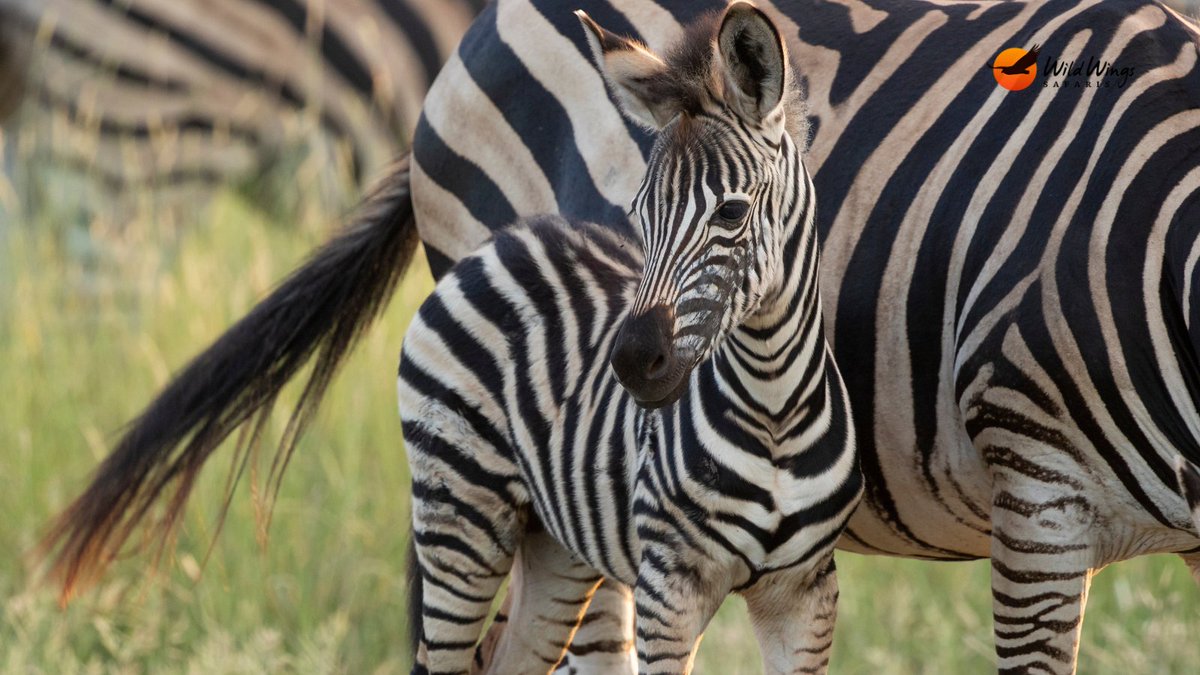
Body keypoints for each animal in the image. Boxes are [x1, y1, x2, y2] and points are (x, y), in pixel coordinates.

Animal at [400, 5, 860, 673]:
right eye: (641, 215)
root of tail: (507, 239)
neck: (774, 409)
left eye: (730, 213)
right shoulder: (670, 584)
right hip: (458, 512)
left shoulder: (804, 592)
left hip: (555, 544)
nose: (634, 362)